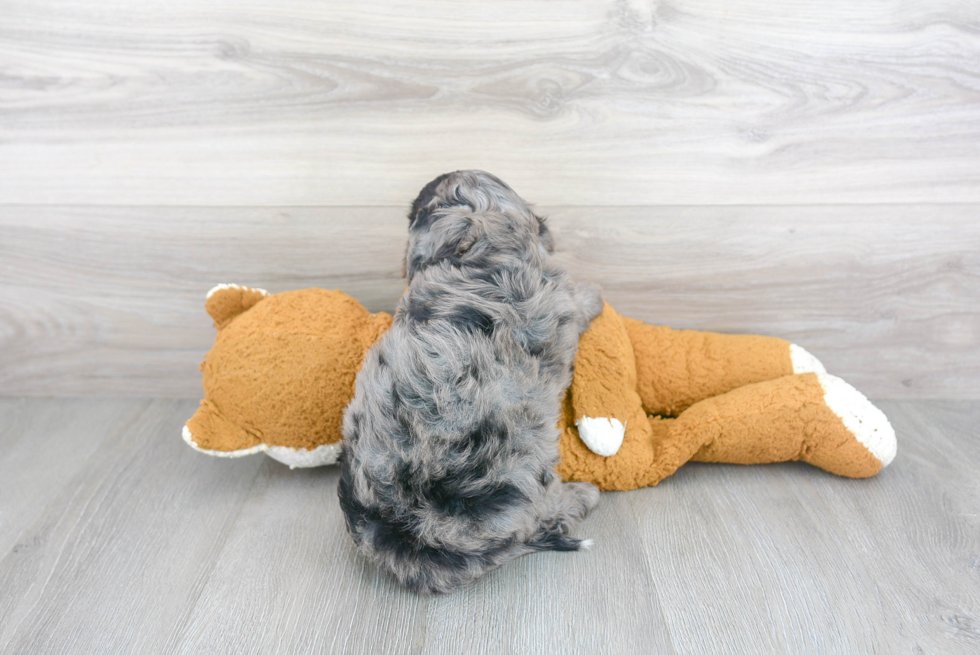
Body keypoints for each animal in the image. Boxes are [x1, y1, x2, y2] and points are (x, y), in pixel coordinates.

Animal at [340, 169, 608, 596]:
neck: (479, 251)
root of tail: (407, 531)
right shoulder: (558, 302)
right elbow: (579, 302)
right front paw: (595, 295)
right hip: (528, 477)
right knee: (549, 512)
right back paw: (583, 494)